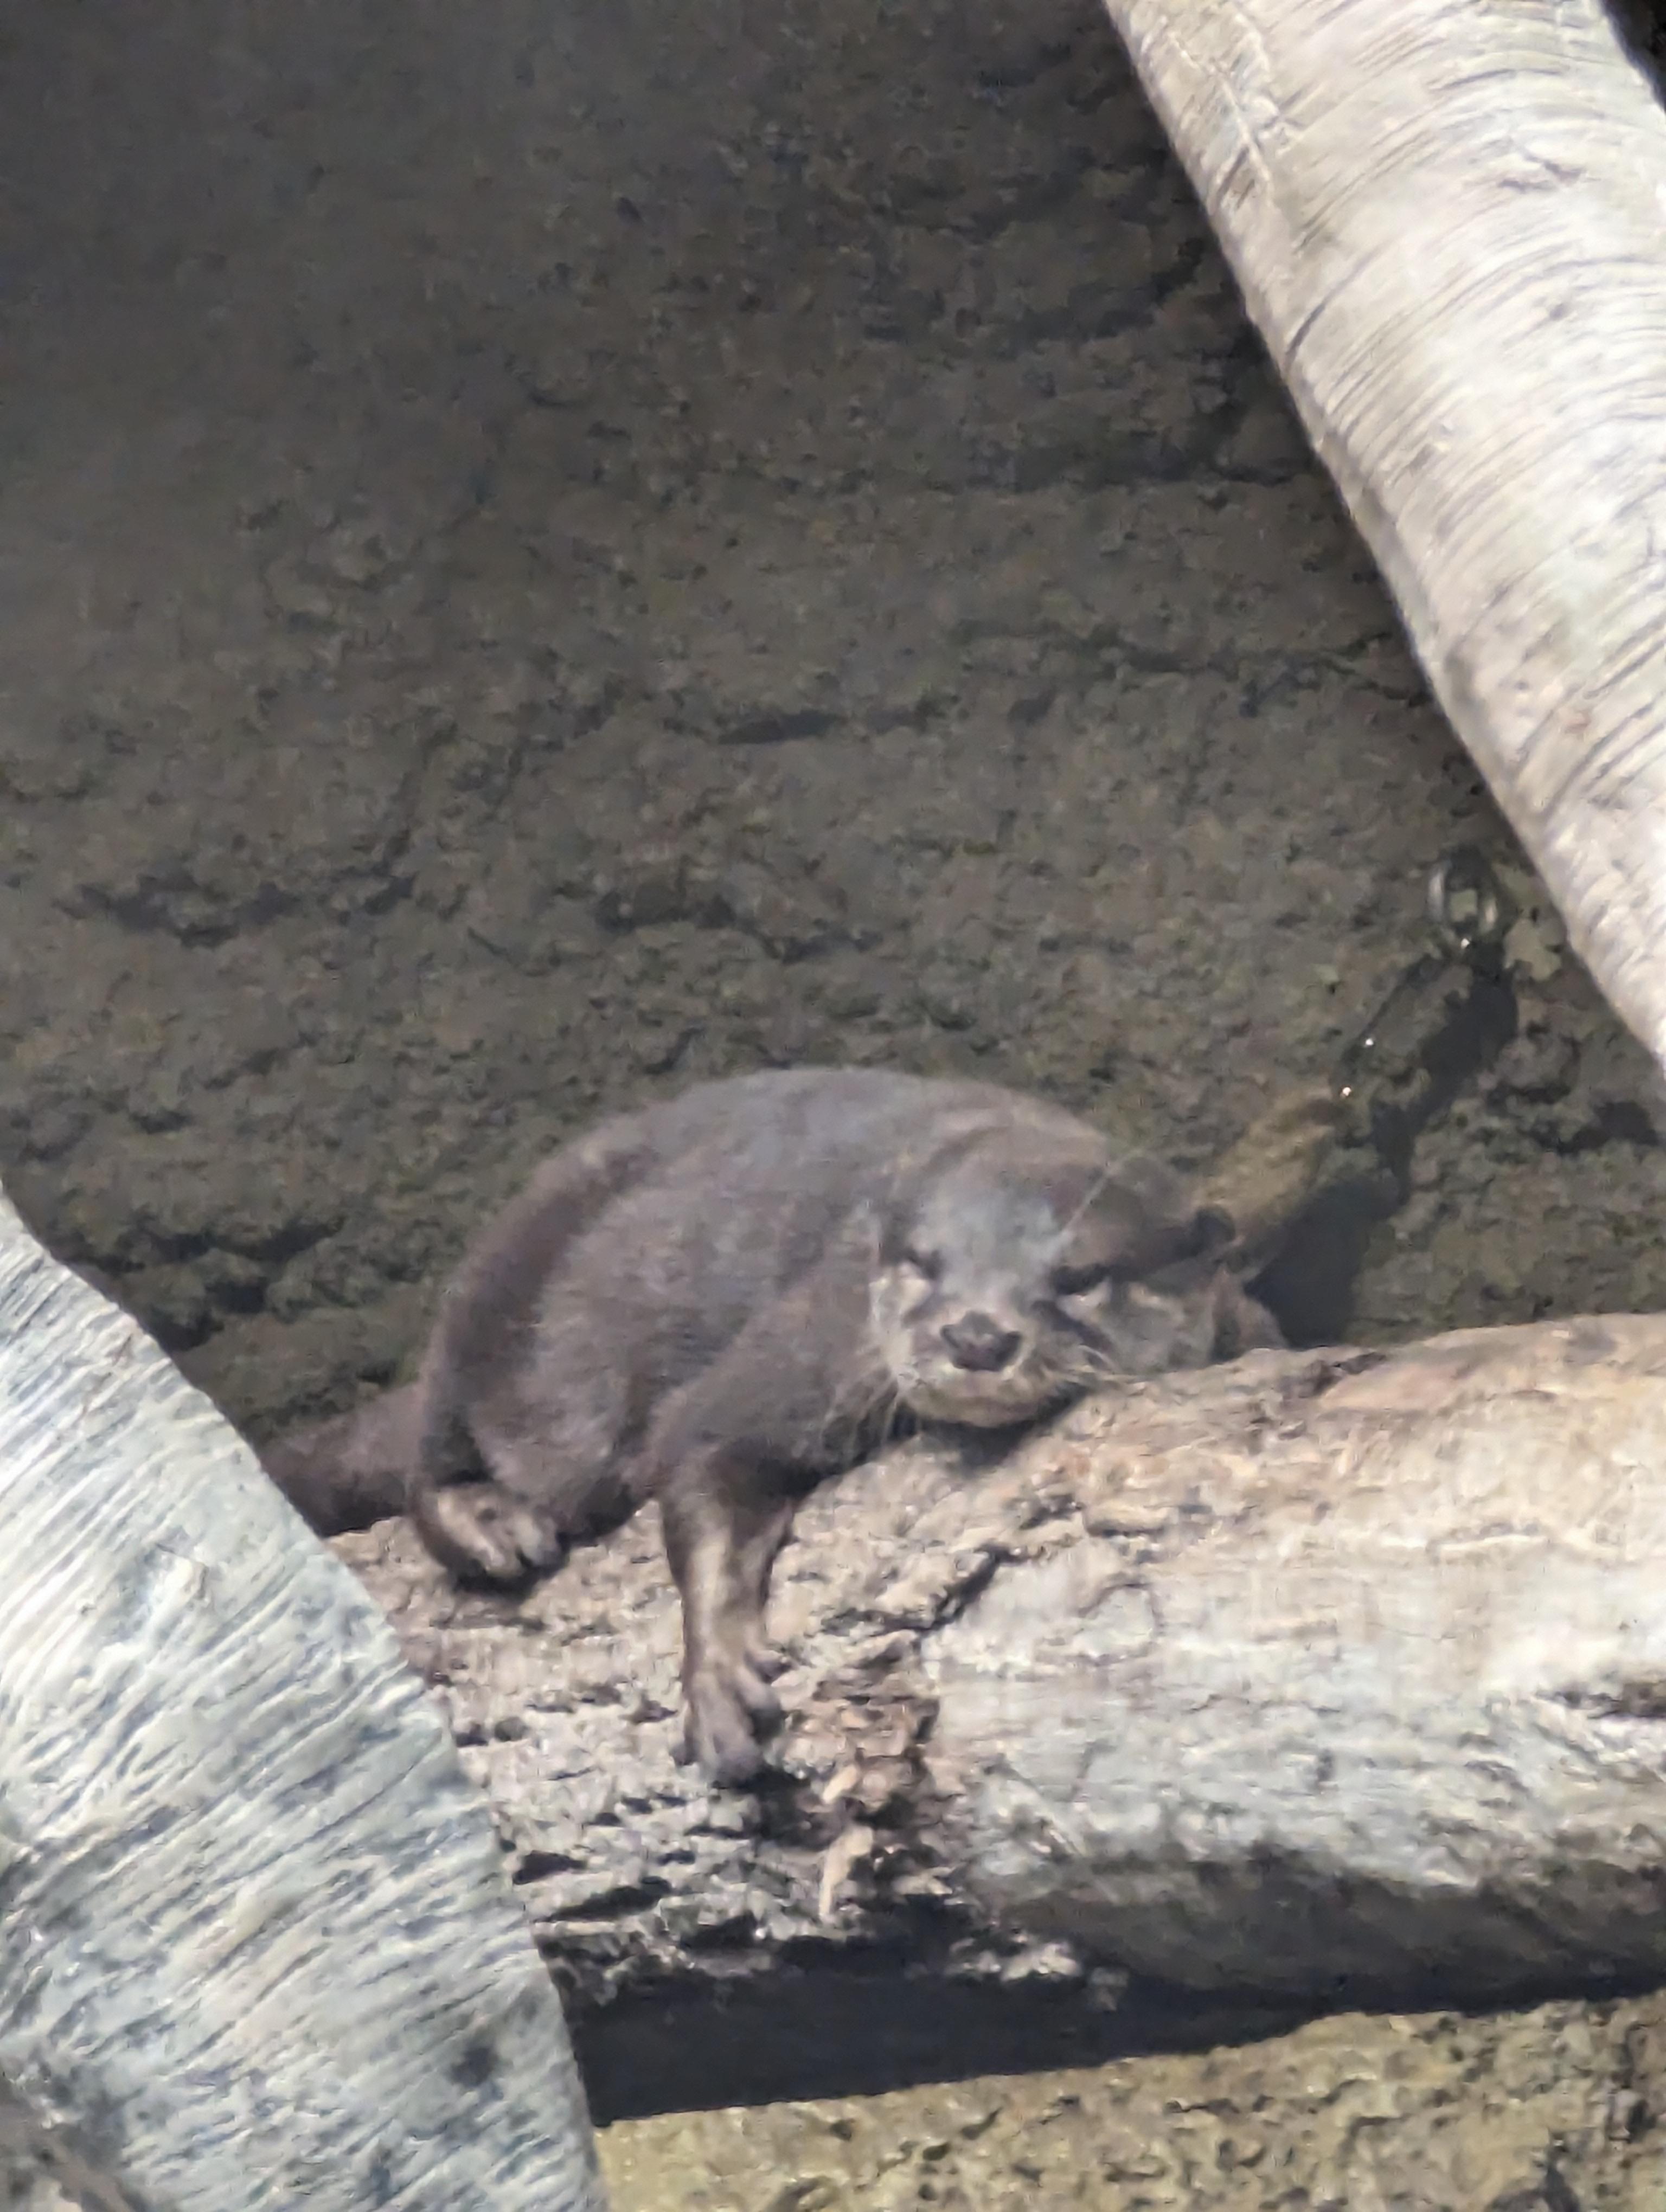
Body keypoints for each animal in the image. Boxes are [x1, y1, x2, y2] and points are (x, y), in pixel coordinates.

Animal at [261, 1067, 1271, 1785]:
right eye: (922, 1263)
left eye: (1080, 1277)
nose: (975, 1334)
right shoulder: (813, 1343)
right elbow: (701, 1448)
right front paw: (715, 1680)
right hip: (500, 1298)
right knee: (430, 1443)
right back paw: (488, 1521)